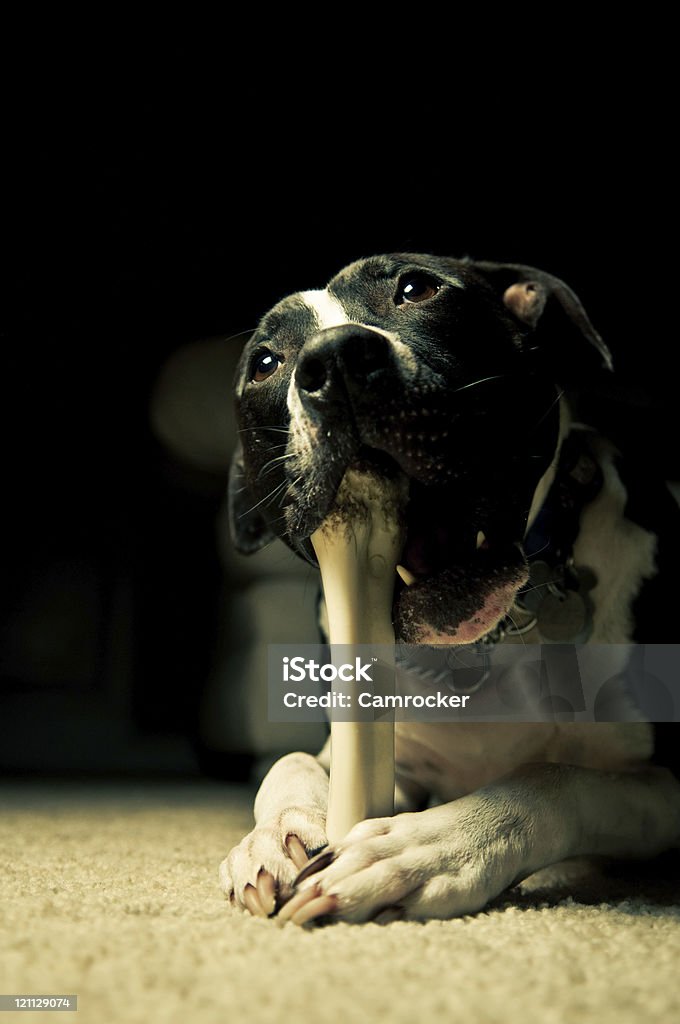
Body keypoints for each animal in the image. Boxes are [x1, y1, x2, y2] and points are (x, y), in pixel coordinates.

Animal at [219, 251, 680, 925]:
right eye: (265, 363)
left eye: (417, 288)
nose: (334, 361)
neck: (486, 643)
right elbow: (292, 759)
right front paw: (275, 836)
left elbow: (553, 776)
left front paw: (421, 850)